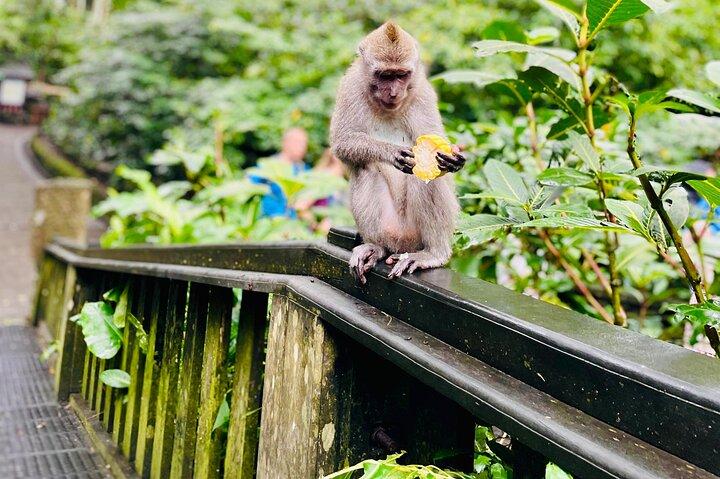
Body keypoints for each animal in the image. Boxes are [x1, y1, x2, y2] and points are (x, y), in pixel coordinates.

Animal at [330, 21, 465, 284]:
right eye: (385, 75)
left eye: (401, 75)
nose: (393, 92)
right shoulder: (350, 87)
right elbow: (342, 142)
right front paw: (391, 152)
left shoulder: (423, 93)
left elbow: (433, 139)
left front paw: (454, 157)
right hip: (390, 229)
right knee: (367, 168)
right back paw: (376, 247)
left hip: (415, 236)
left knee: (428, 176)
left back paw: (434, 253)